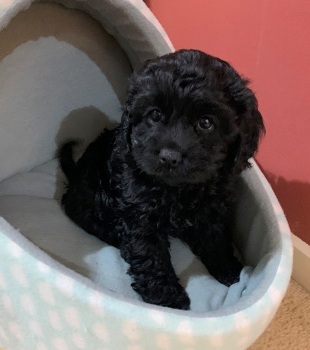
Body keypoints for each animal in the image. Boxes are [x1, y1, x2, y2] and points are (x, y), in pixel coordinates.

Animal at [59, 49, 266, 308]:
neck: (177, 189)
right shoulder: (139, 214)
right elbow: (150, 255)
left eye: (206, 122)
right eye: (155, 115)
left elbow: (215, 237)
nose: (169, 157)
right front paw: (168, 298)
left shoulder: (210, 208)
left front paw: (229, 269)